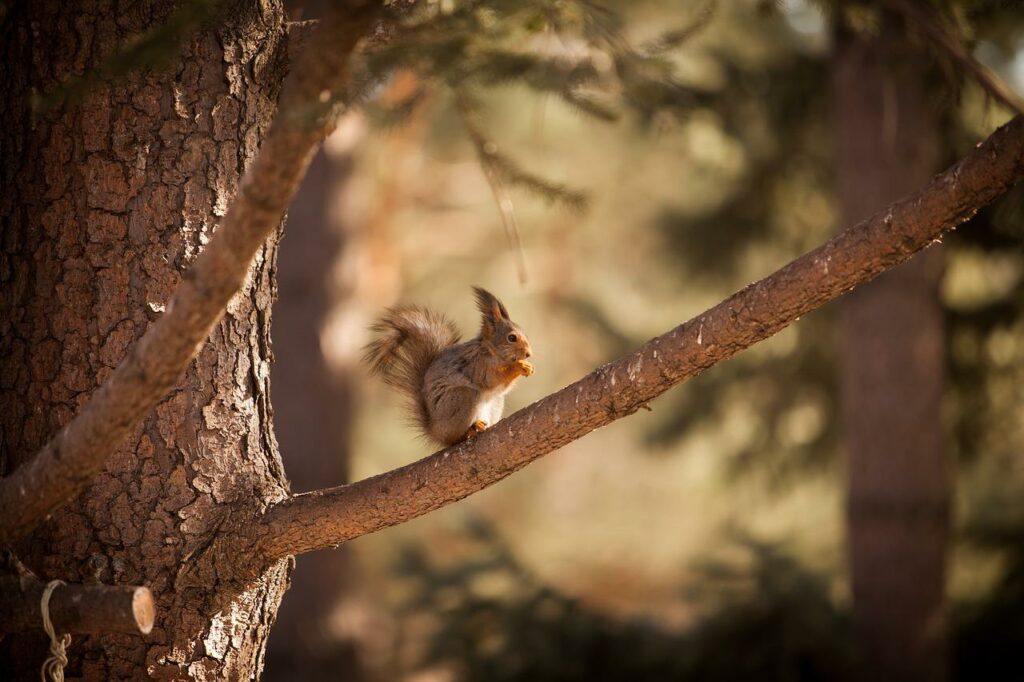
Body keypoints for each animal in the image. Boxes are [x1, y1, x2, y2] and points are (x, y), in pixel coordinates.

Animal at [364, 284, 536, 444]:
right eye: (511, 338)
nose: (529, 354)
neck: (491, 351)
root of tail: (435, 431)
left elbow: (502, 387)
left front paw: (527, 366)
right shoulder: (478, 365)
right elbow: (491, 380)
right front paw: (519, 367)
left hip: (495, 403)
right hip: (462, 398)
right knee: (453, 438)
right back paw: (468, 431)